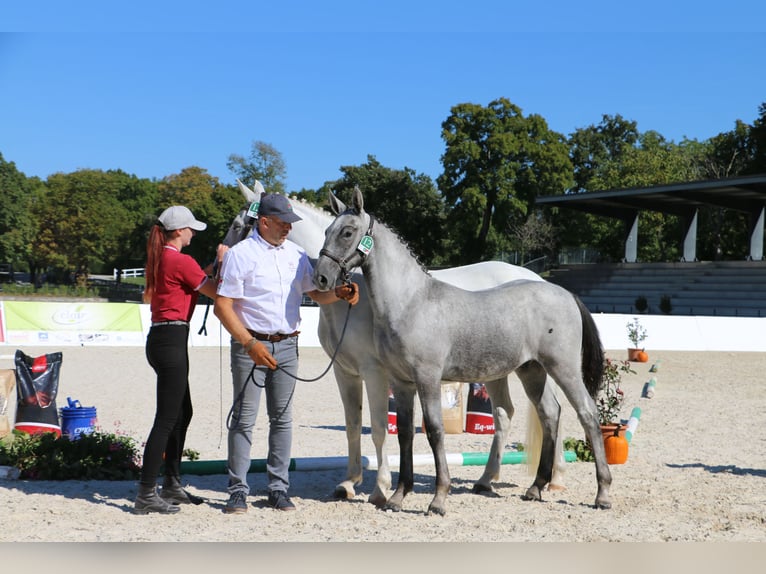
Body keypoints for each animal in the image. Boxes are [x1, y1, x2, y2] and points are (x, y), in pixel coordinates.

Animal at [228, 180, 567, 507]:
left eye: (239, 224)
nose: (221, 270)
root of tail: (537, 279)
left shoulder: (375, 371)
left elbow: (379, 427)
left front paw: (380, 489)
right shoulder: (345, 371)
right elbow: (353, 424)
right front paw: (349, 483)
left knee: (550, 410)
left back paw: (554, 479)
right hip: (497, 370)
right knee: (505, 414)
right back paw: (487, 480)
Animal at [313, 187, 610, 515]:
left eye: (347, 232)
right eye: (327, 231)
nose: (321, 277)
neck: (410, 302)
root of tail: (566, 294)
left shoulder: (426, 378)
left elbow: (434, 430)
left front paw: (438, 499)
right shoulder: (401, 382)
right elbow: (404, 433)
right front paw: (398, 497)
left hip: (563, 368)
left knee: (587, 414)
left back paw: (602, 494)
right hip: (531, 371)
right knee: (550, 413)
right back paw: (534, 487)